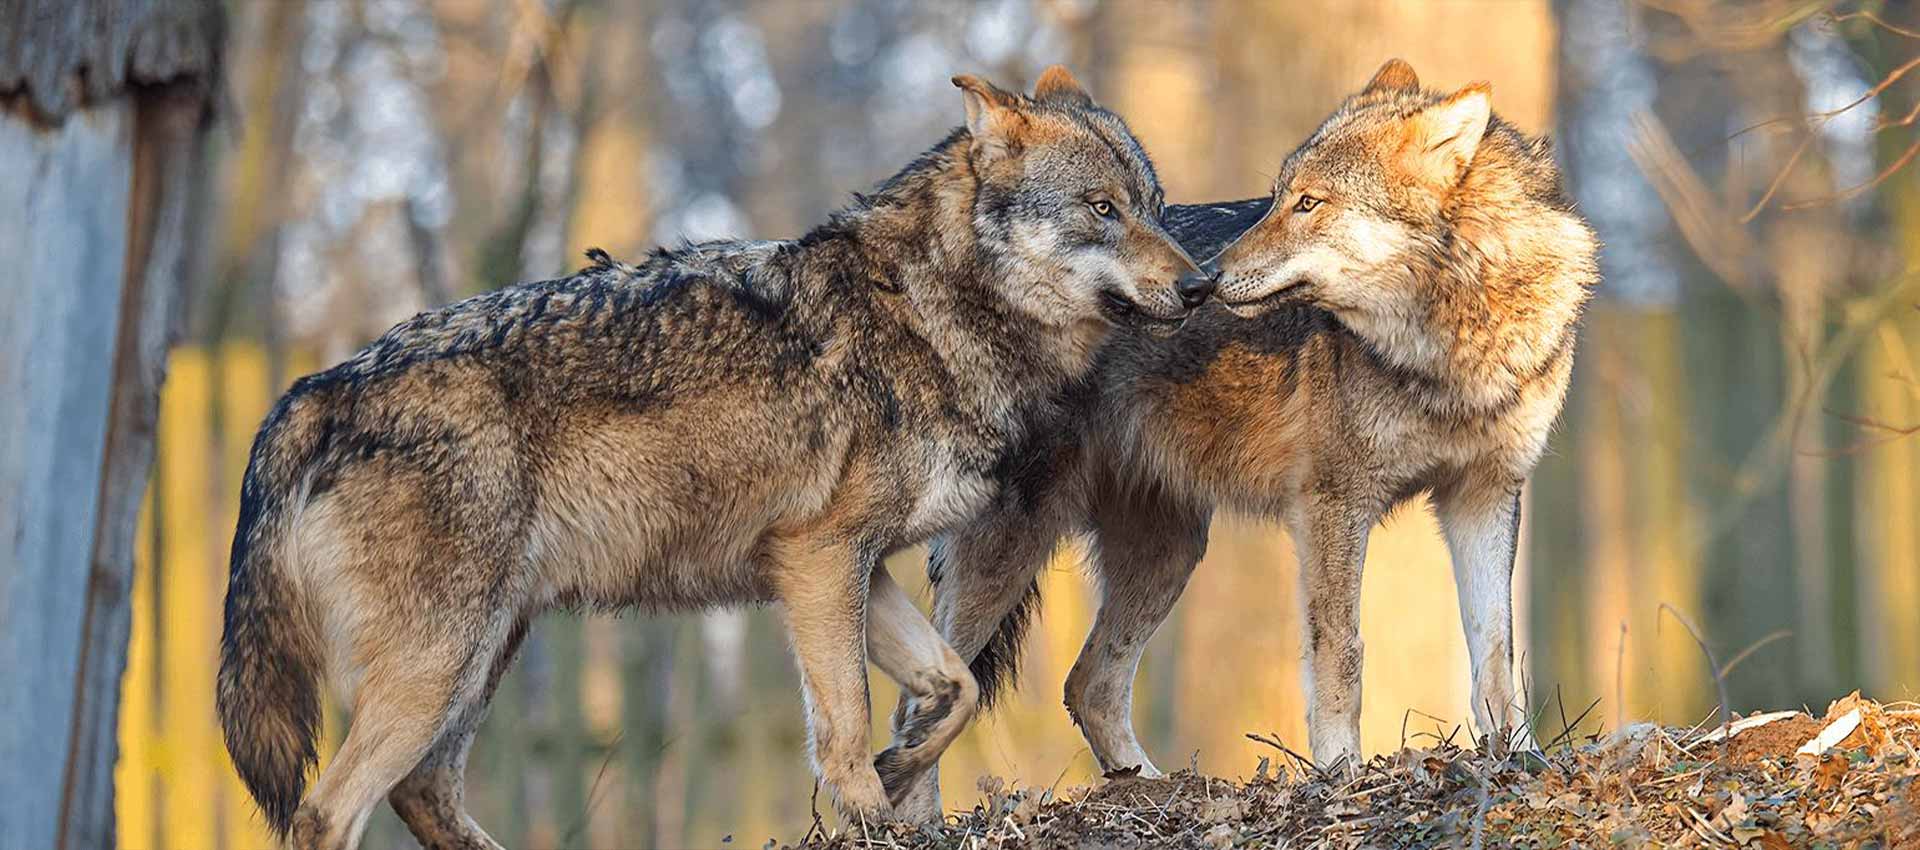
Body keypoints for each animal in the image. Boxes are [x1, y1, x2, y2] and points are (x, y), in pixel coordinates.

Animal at [216, 66, 1211, 850]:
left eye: (1156, 210)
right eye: (1102, 210)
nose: (1201, 285)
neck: (929, 311)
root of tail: (316, 388)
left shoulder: (844, 567)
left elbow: (954, 688)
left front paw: (898, 770)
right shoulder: (820, 561)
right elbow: (844, 722)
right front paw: (869, 812)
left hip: (483, 650)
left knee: (424, 793)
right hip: (440, 662)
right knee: (328, 812)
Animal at [898, 59, 1599, 819]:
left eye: (1309, 204)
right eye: (1277, 198)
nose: (1205, 281)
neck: (1451, 351)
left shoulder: (1485, 496)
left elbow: (1496, 652)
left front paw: (1517, 760)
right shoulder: (1332, 505)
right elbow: (1341, 652)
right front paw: (1342, 775)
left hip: (1170, 552)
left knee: (1089, 685)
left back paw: (1156, 790)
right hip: (1018, 551)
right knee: (928, 699)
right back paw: (918, 822)